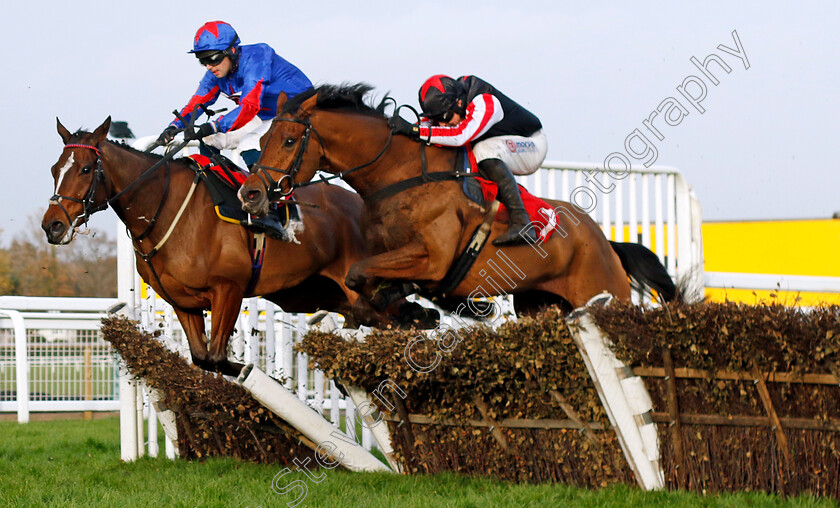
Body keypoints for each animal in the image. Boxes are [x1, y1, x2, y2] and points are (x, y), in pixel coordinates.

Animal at [42, 117, 388, 376]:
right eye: (54, 169)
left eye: (86, 169)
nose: (52, 225)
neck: (167, 209)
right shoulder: (183, 302)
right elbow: (203, 358)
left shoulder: (228, 289)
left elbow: (220, 359)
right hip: (322, 293)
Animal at [236, 84, 676, 316]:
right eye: (263, 137)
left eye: (289, 140)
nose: (251, 192)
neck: (400, 176)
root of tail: (605, 241)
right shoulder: (387, 255)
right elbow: (360, 278)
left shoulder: (434, 258)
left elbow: (361, 274)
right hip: (538, 304)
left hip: (603, 295)